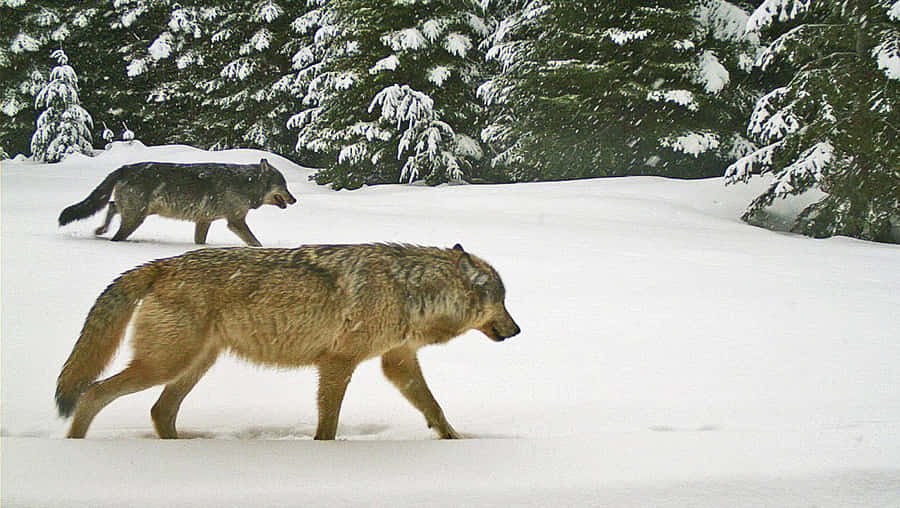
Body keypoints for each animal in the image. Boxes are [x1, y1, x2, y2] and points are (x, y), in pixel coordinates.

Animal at [55, 243, 520, 440]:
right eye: (502, 300)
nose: (517, 330)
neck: (410, 289)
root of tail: (163, 263)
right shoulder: (338, 361)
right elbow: (328, 423)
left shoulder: (397, 360)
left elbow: (435, 408)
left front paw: (455, 441)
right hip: (165, 365)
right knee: (93, 393)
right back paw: (74, 449)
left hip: (194, 365)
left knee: (159, 411)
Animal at [58, 158, 297, 246]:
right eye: (284, 185)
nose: (294, 200)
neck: (246, 184)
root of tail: (125, 167)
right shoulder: (235, 222)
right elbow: (256, 242)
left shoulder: (204, 221)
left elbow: (200, 243)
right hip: (136, 218)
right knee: (116, 234)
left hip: (139, 212)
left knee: (110, 206)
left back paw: (100, 230)